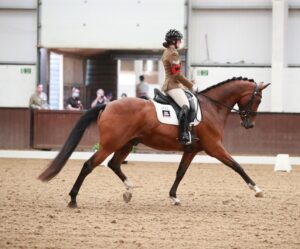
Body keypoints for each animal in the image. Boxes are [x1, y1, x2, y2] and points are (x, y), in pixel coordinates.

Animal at [37, 77, 270, 207]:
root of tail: (108, 105)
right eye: (257, 99)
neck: (212, 107)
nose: (249, 124)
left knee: (114, 164)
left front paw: (173, 197)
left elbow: (180, 173)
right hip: (111, 144)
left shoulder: (192, 150)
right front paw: (257, 189)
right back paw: (73, 199)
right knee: (89, 165)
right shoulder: (214, 147)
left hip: (127, 143)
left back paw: (129, 190)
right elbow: (237, 166)